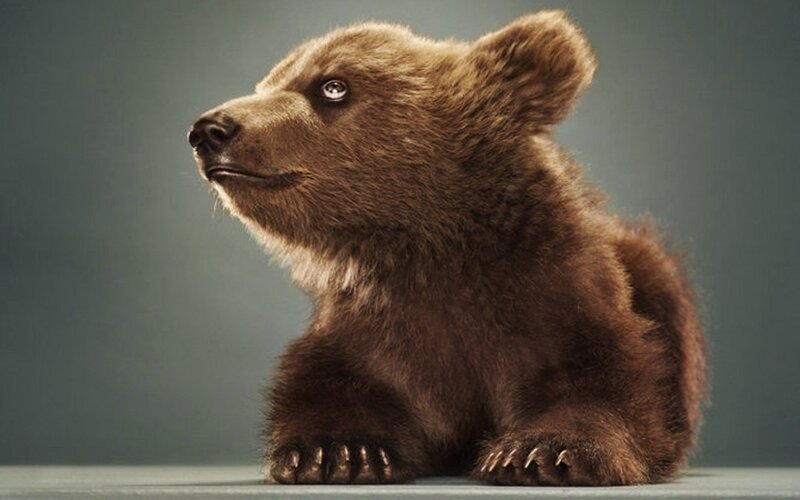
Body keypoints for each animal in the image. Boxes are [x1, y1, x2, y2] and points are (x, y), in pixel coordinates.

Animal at [188, 10, 707, 486]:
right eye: (267, 83)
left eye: (333, 86)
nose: (210, 129)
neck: (430, 244)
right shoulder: (374, 325)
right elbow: (331, 383)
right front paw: (340, 452)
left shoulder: (557, 298)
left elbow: (602, 380)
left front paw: (539, 453)